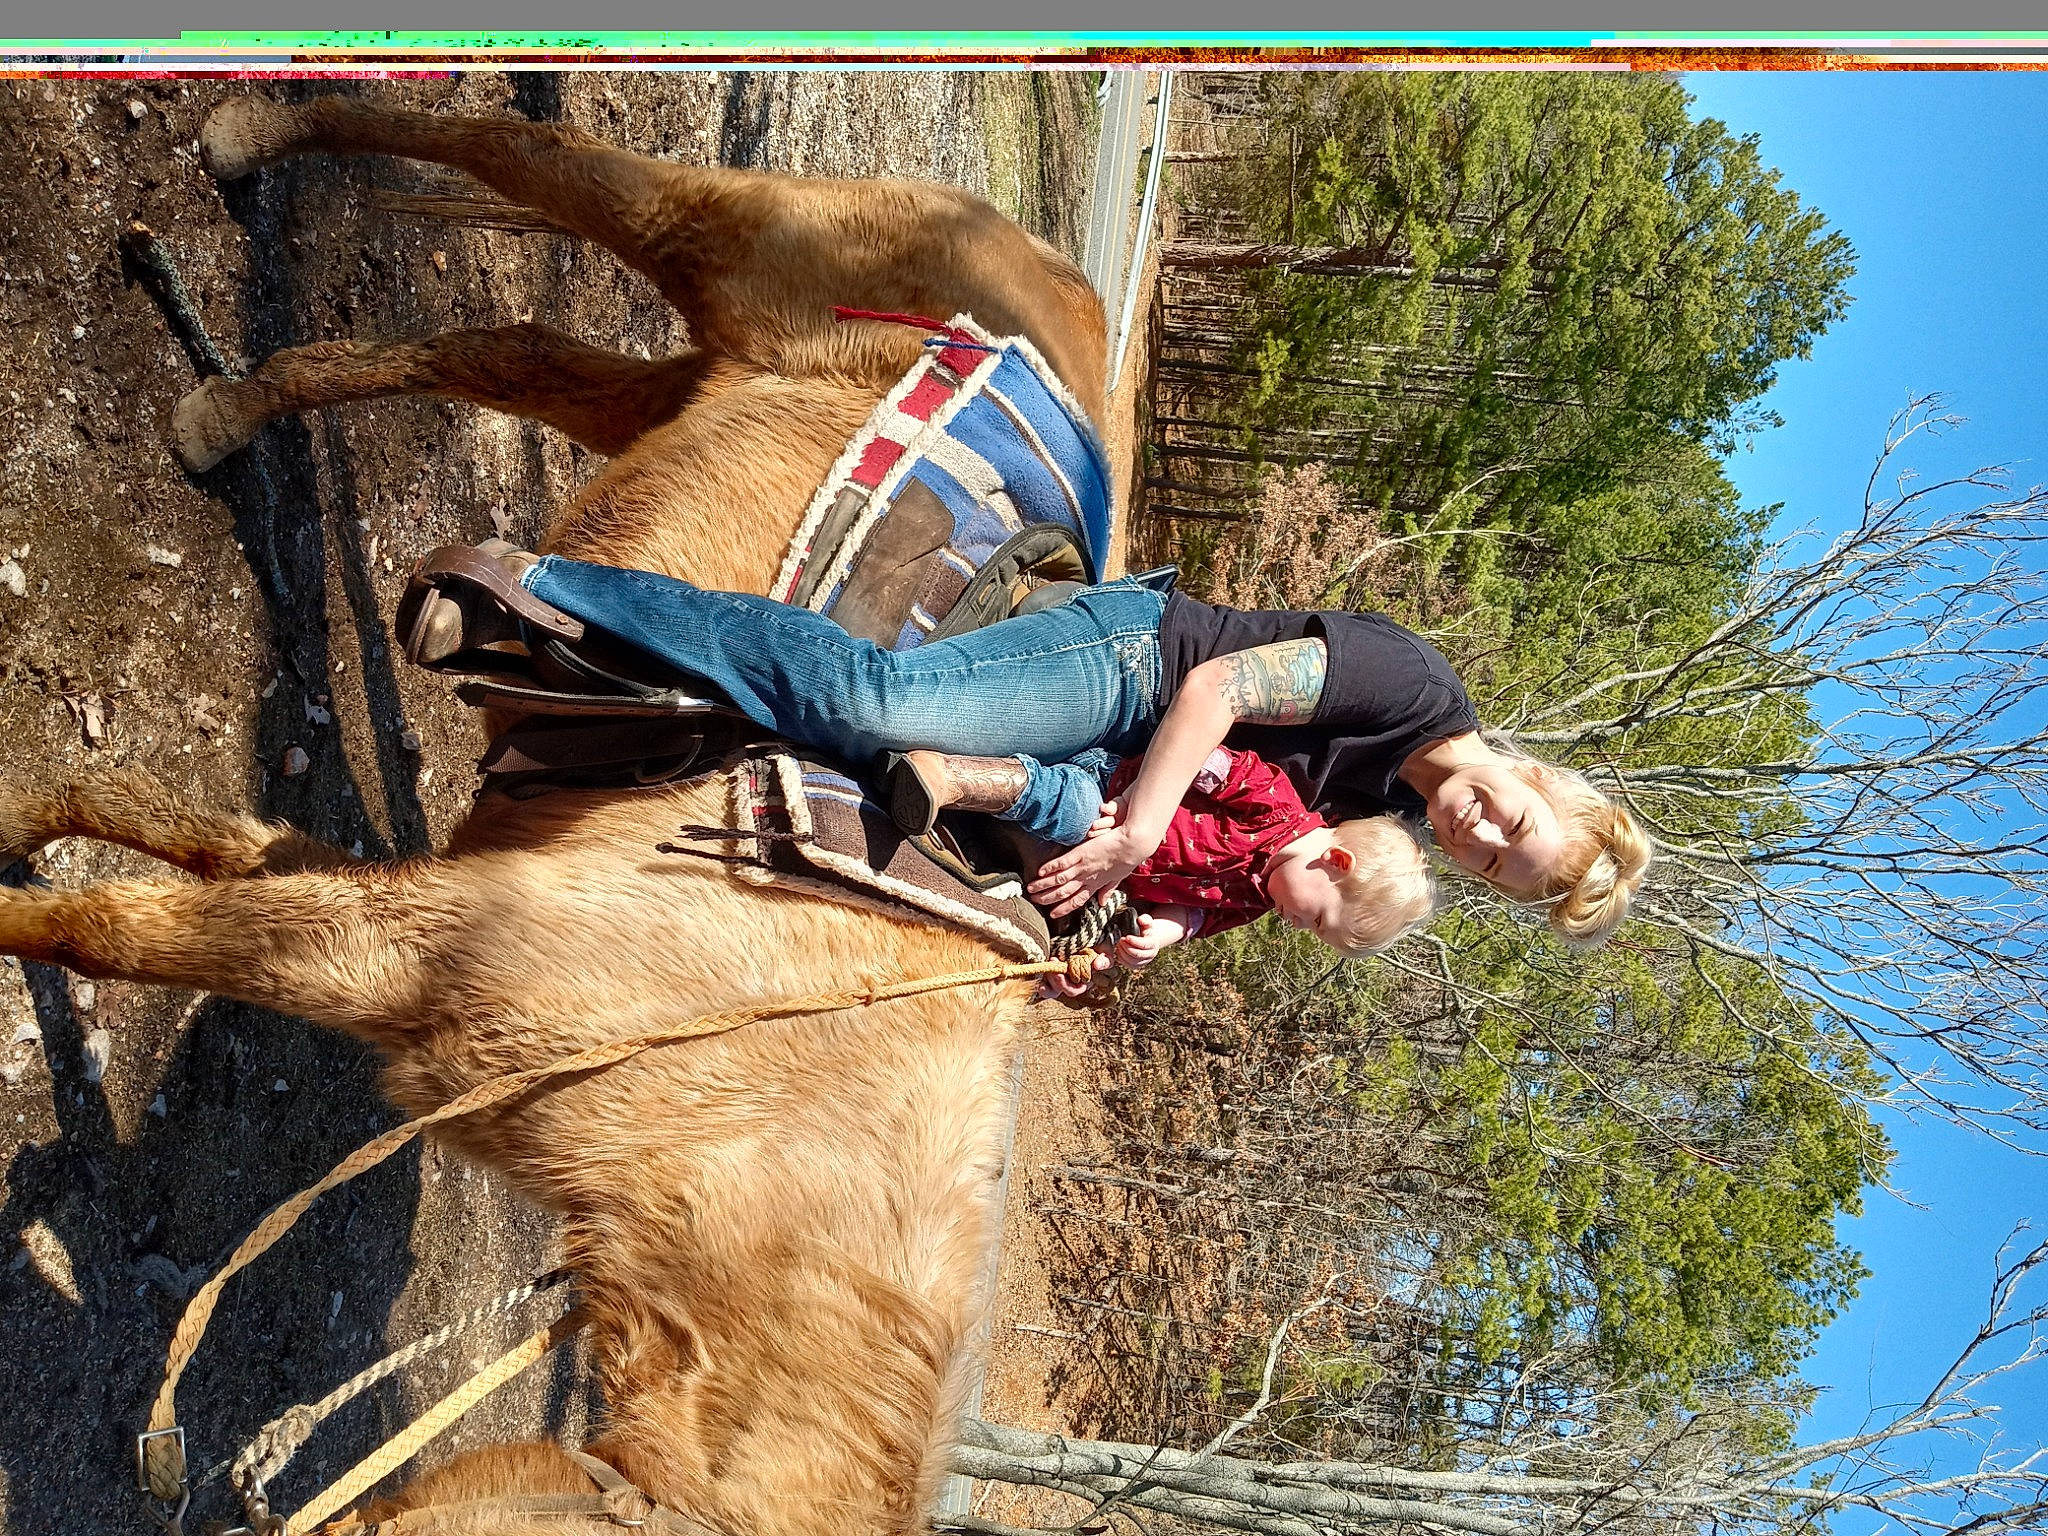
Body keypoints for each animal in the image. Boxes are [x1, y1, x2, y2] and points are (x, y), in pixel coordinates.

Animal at [0, 92, 1108, 1535]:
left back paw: (222, 411)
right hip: (716, 240)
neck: (757, 1104)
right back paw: (247, 141)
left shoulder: (407, 927)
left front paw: (39, 814)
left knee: (497, 347)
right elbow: (122, 930)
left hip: (676, 390)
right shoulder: (404, 941)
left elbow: (205, 862)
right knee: (508, 151)